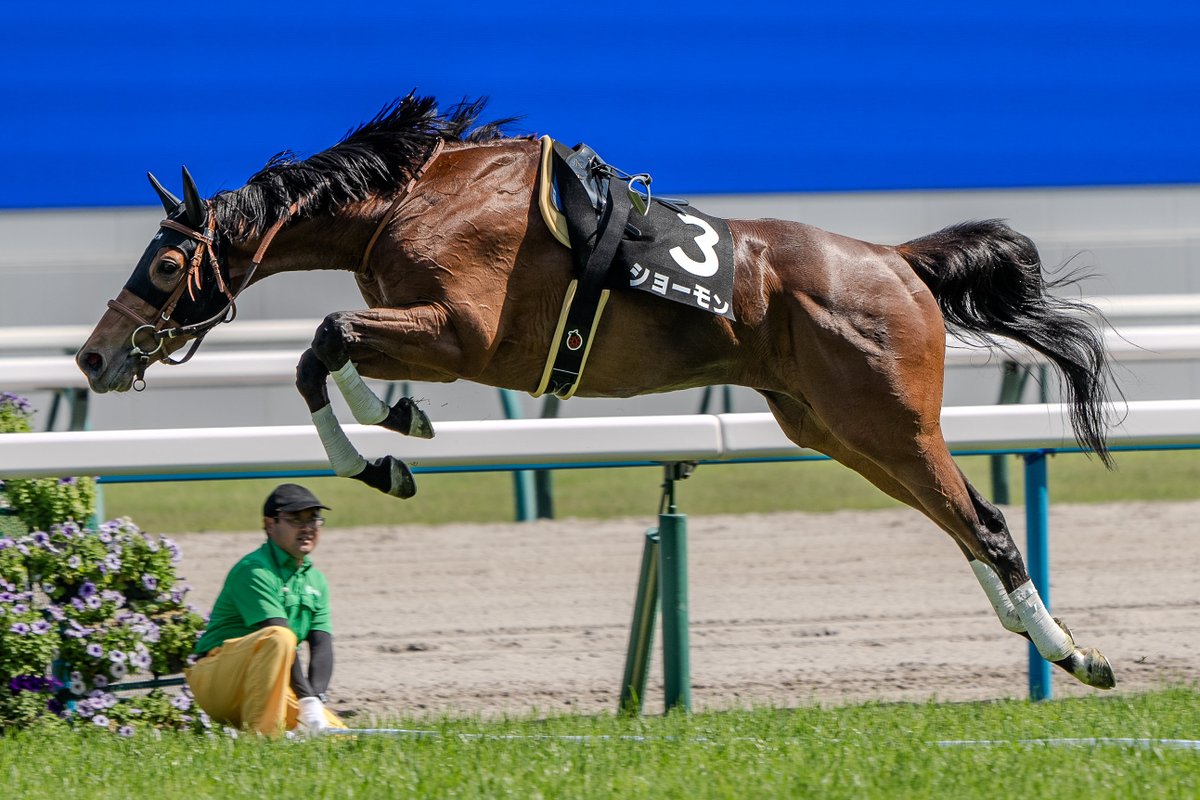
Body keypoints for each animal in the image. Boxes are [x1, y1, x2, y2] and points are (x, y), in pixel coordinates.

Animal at [79, 94, 1118, 690]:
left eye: (166, 265)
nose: (94, 358)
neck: (414, 197)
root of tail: (897, 260)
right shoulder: (441, 336)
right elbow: (331, 356)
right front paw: (396, 430)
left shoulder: (463, 332)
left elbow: (324, 342)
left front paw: (386, 445)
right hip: (836, 429)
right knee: (967, 523)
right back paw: (1052, 645)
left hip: (889, 423)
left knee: (985, 523)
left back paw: (1079, 657)